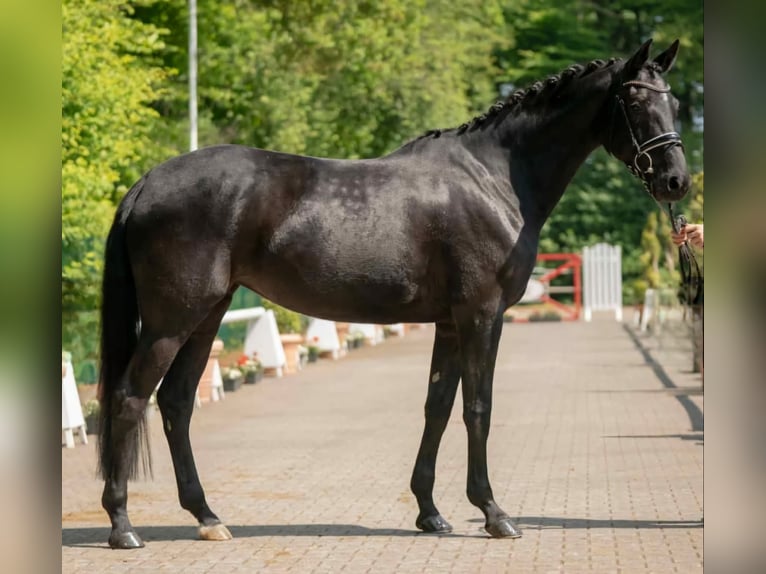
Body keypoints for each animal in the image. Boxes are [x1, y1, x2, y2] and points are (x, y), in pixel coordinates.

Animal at [94, 38, 688, 552]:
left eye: (676, 101)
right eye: (635, 100)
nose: (677, 182)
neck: (493, 178)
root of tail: (147, 183)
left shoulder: (450, 323)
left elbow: (437, 407)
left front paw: (431, 512)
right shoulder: (481, 315)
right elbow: (478, 407)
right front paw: (493, 513)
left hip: (207, 315)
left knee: (176, 402)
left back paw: (207, 517)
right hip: (173, 320)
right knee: (128, 398)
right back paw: (123, 526)